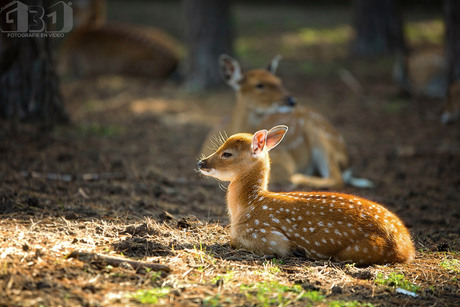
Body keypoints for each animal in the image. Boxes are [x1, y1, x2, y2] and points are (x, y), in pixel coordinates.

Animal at [196, 125, 416, 264]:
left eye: (227, 154)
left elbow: (235, 241)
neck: (248, 205)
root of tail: (408, 247)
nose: (201, 163)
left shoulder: (269, 237)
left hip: (357, 251)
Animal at [199, 56, 372, 189]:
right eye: (259, 85)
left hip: (319, 134)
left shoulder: (283, 160)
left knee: (336, 177)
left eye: (279, 80)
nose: (291, 100)